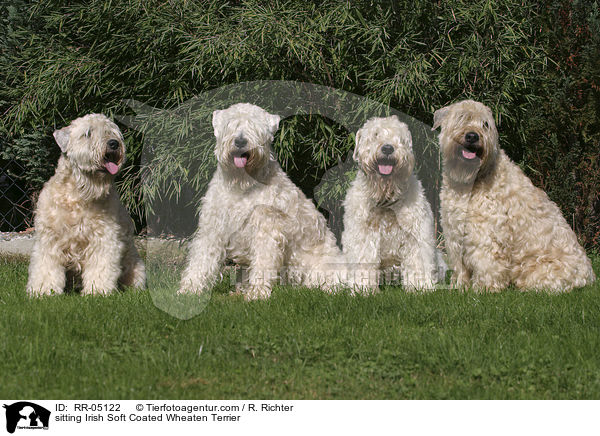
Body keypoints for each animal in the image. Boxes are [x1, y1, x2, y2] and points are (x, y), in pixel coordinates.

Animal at [26, 114, 146, 296]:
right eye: (88, 133)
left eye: (111, 131)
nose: (113, 143)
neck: (78, 195)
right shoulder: (49, 238)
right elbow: (46, 267)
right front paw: (44, 290)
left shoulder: (104, 238)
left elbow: (101, 266)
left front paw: (98, 291)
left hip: (135, 265)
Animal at [178, 103, 344, 300]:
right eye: (231, 123)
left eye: (255, 126)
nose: (240, 141)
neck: (241, 184)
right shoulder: (213, 225)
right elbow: (201, 260)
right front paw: (189, 289)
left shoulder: (266, 228)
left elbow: (263, 262)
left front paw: (257, 293)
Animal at [342, 116, 446, 292]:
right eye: (375, 134)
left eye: (400, 137)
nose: (388, 148)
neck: (386, 197)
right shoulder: (363, 236)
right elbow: (364, 260)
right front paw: (363, 288)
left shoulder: (415, 234)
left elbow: (418, 262)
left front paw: (420, 287)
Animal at [432, 100, 596, 292]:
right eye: (461, 117)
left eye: (485, 124)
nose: (472, 136)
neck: (470, 180)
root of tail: (590, 276)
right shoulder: (454, 231)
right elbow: (460, 267)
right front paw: (459, 287)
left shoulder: (485, 233)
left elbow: (486, 263)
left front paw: (483, 289)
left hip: (540, 270)